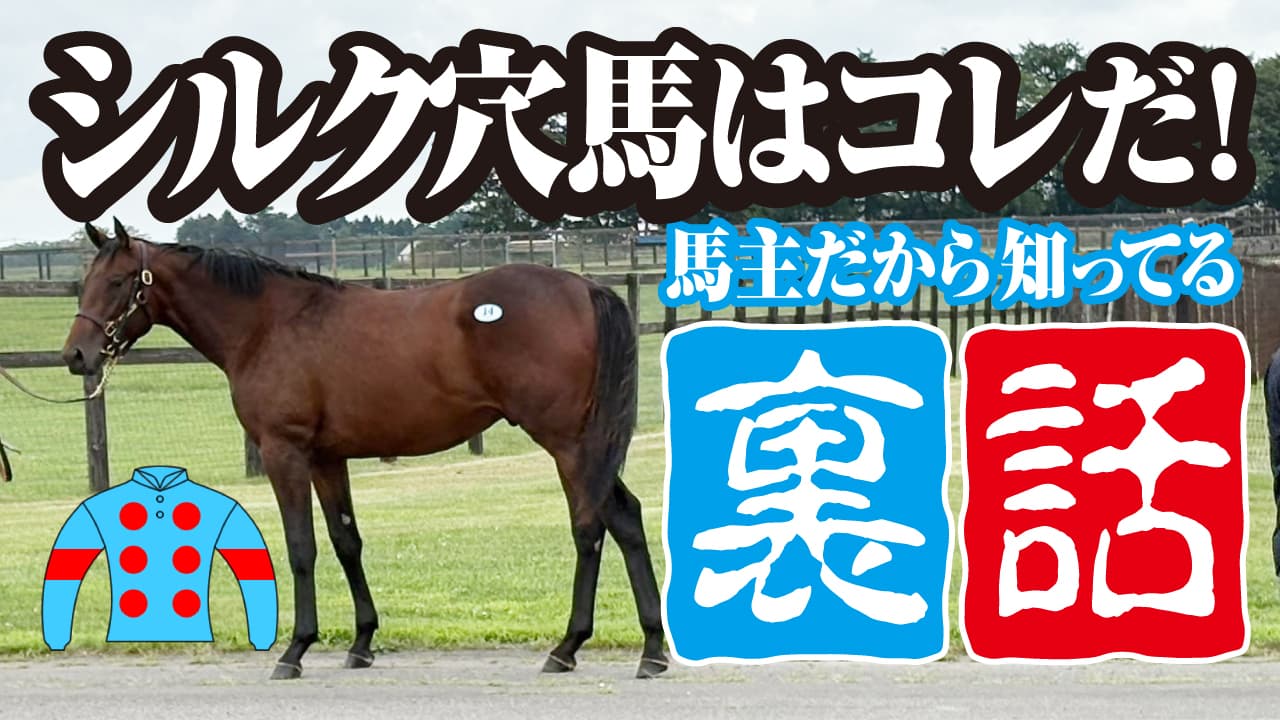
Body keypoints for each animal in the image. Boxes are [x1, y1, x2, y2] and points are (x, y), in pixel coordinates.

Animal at [61, 219, 668, 680]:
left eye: (119, 281)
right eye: (85, 280)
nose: (76, 355)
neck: (268, 324)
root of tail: (584, 288)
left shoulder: (284, 452)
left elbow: (301, 547)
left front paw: (295, 650)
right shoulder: (328, 458)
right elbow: (345, 541)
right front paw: (361, 643)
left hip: (567, 443)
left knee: (591, 527)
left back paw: (571, 647)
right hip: (586, 446)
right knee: (625, 518)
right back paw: (650, 650)